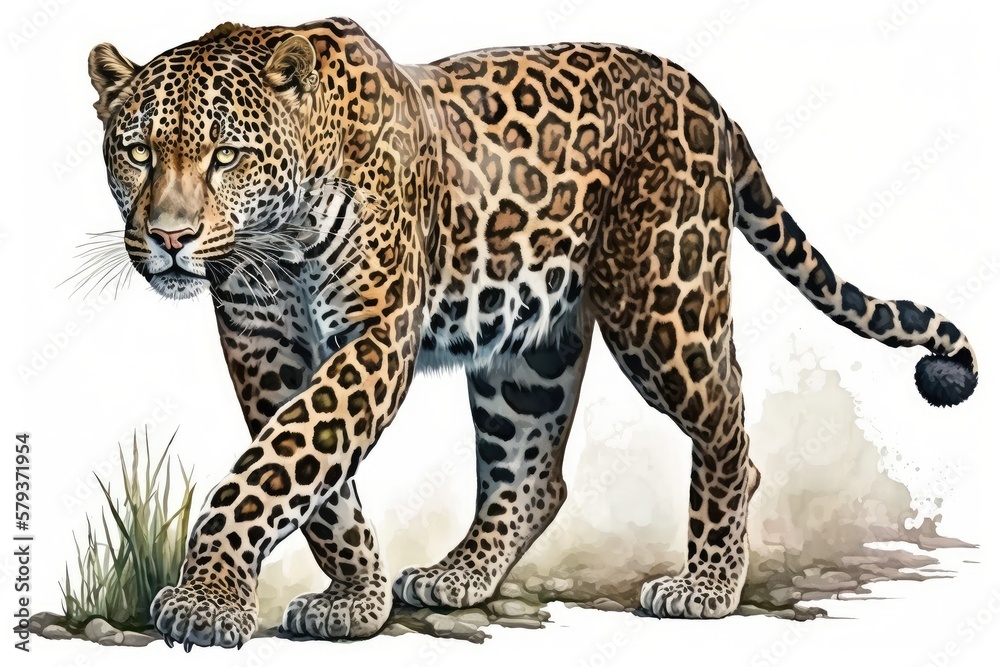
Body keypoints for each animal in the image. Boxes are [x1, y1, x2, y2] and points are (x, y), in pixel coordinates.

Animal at [87, 17, 978, 649]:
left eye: (226, 155)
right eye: (136, 151)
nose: (168, 237)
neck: (273, 241)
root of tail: (702, 94)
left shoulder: (373, 337)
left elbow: (270, 469)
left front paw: (204, 599)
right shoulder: (264, 350)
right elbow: (308, 479)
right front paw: (355, 597)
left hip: (664, 304)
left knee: (730, 431)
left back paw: (708, 585)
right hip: (527, 350)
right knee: (533, 474)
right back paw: (456, 574)